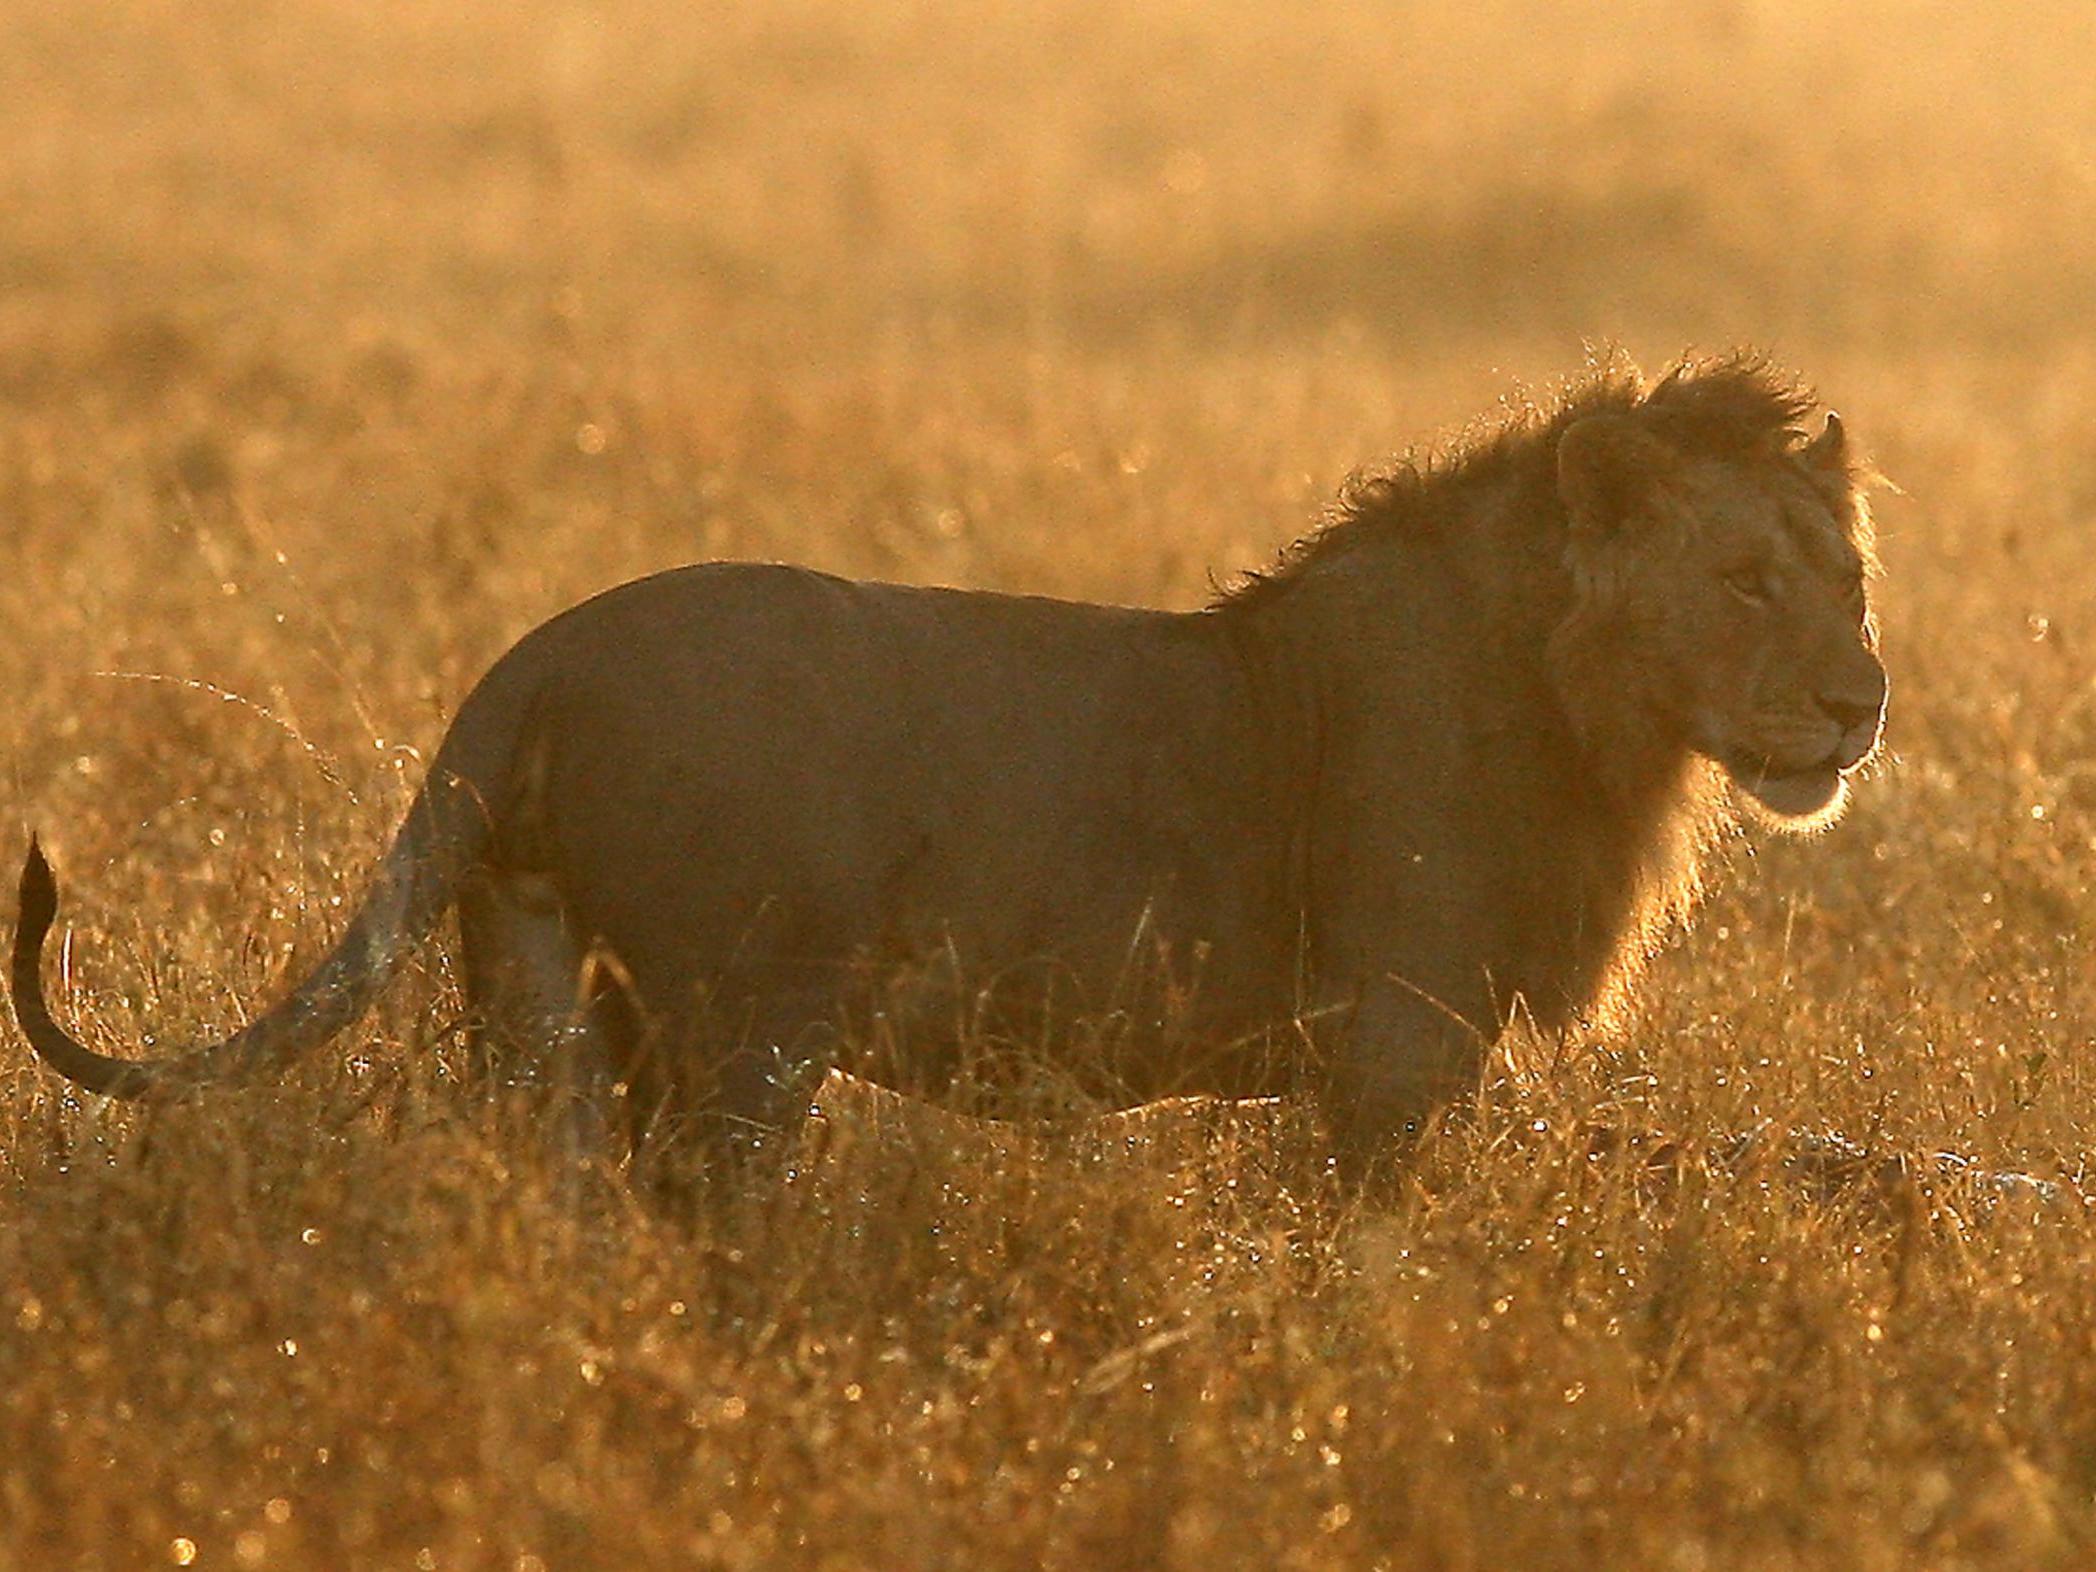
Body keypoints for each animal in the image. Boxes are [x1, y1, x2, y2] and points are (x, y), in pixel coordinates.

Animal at [12, 354, 1886, 1173]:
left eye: (1851, 578)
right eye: (1745, 579)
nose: (1863, 703)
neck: (1594, 720)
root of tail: (533, 652)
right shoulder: (1390, 1055)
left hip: (537, 991)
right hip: (742, 1027)